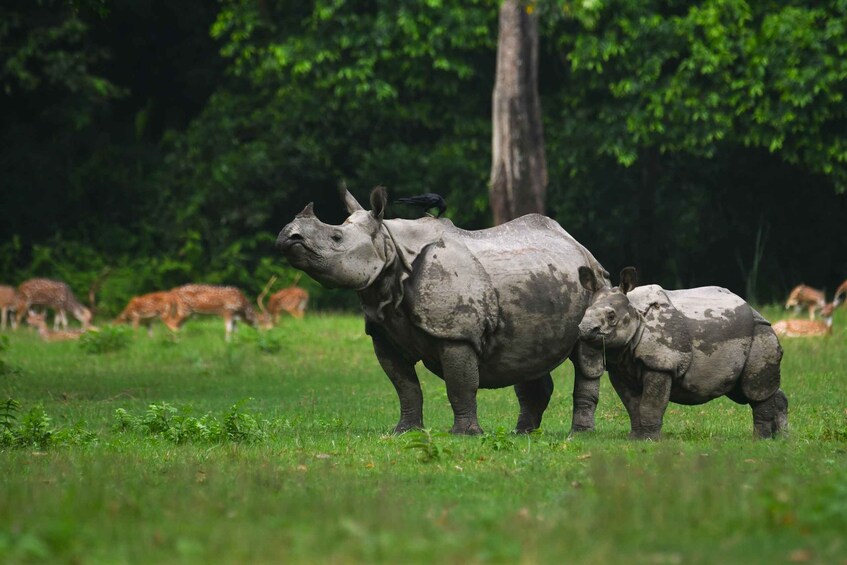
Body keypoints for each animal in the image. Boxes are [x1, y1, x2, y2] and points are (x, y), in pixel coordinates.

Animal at [276, 187, 610, 435]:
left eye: (336, 238)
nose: (288, 236)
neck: (390, 249)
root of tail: (578, 244)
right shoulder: (383, 333)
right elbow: (405, 386)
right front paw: (405, 431)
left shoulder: (455, 332)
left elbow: (459, 385)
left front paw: (465, 435)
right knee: (526, 355)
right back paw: (523, 433)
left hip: (596, 282)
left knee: (586, 356)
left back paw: (579, 435)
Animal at [577, 266, 787, 440]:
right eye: (585, 312)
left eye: (611, 316)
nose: (585, 330)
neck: (634, 310)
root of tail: (756, 311)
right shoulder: (620, 367)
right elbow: (633, 406)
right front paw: (635, 439)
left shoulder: (661, 363)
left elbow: (650, 405)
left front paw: (649, 440)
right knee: (745, 390)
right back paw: (781, 439)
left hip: (760, 333)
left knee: (754, 390)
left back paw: (760, 440)